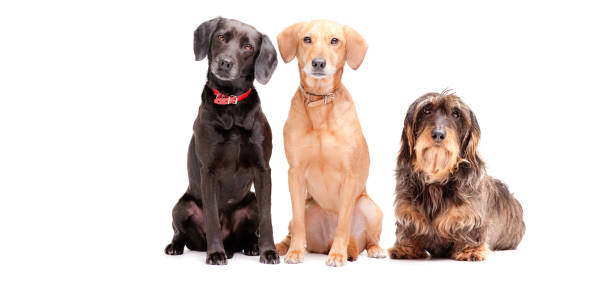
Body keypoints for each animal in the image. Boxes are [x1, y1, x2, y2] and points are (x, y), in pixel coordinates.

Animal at [274, 20, 384, 268]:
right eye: (307, 39)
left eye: (335, 40)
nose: (318, 63)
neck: (319, 103)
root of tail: (324, 243)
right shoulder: (295, 174)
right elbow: (298, 224)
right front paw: (295, 252)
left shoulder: (350, 176)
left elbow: (343, 223)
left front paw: (338, 255)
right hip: (307, 207)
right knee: (293, 228)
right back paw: (280, 247)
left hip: (372, 208)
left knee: (370, 240)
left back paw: (374, 250)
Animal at [388, 90, 524, 260]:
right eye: (426, 109)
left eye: (456, 114)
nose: (438, 134)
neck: (437, 178)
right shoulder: (407, 212)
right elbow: (408, 229)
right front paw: (406, 248)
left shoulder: (469, 216)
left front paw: (470, 250)